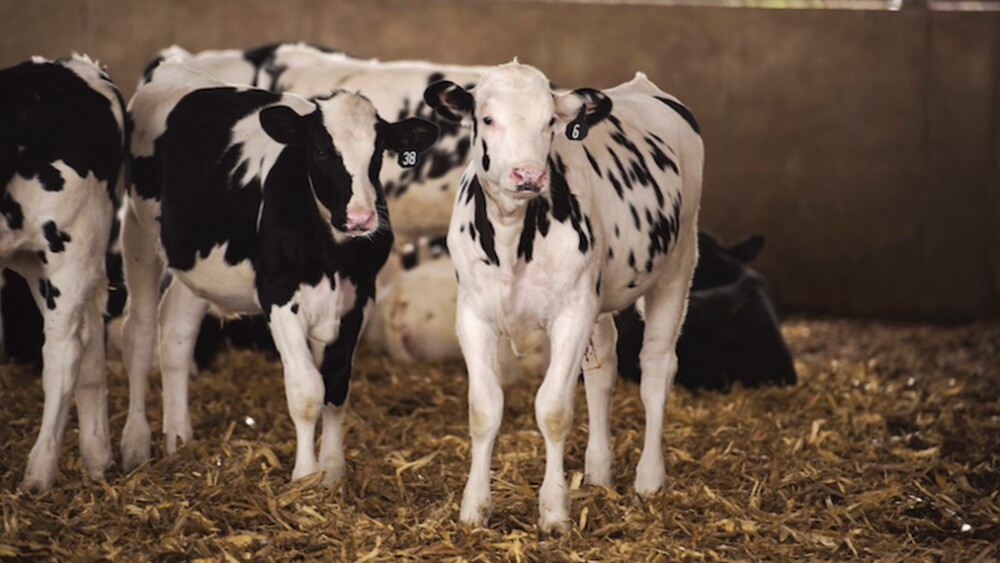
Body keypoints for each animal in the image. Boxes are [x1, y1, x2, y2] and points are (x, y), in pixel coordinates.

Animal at [0, 54, 126, 491]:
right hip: (32, 257)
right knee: (89, 339)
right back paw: (97, 458)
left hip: (71, 244)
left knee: (64, 349)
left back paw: (39, 472)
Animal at [120, 59, 438, 483]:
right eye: (321, 150)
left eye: (378, 153)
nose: (360, 218)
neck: (332, 253)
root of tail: (174, 69)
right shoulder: (279, 294)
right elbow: (306, 390)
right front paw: (305, 476)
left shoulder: (358, 297)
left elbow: (336, 386)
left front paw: (332, 472)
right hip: (138, 231)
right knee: (139, 333)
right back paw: (135, 444)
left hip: (196, 262)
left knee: (176, 332)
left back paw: (179, 440)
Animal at [424, 62, 703, 533]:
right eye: (487, 118)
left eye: (549, 122)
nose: (528, 175)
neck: (512, 233)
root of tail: (643, 86)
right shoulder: (474, 316)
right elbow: (484, 409)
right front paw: (474, 507)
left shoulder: (572, 313)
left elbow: (553, 409)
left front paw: (554, 509)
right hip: (601, 297)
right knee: (603, 368)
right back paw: (599, 469)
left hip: (679, 262)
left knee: (656, 369)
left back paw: (649, 477)